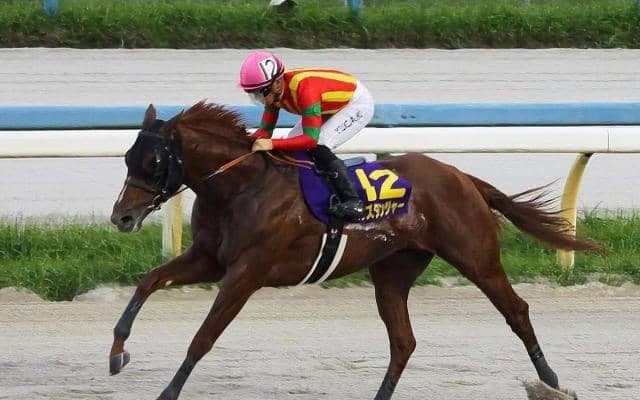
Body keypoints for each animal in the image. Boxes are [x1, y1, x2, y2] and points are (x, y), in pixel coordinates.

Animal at [109, 101, 601, 400]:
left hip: (475, 256)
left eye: (153, 162)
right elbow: (148, 282)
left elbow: (204, 336)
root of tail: (461, 175)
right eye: (128, 158)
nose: (121, 217)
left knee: (516, 311)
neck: (240, 186)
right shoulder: (210, 260)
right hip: (393, 271)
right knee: (403, 341)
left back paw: (551, 381)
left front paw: (168, 391)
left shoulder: (246, 272)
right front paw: (117, 353)